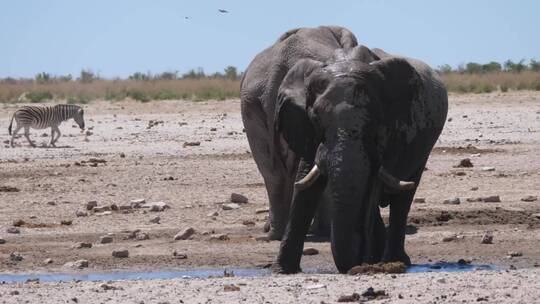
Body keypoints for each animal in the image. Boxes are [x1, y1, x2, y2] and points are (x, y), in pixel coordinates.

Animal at [240, 26, 448, 274]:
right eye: (316, 118)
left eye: (375, 119)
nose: (357, 259)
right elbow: (307, 179)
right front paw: (281, 270)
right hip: (251, 107)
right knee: (274, 173)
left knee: (404, 195)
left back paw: (392, 260)